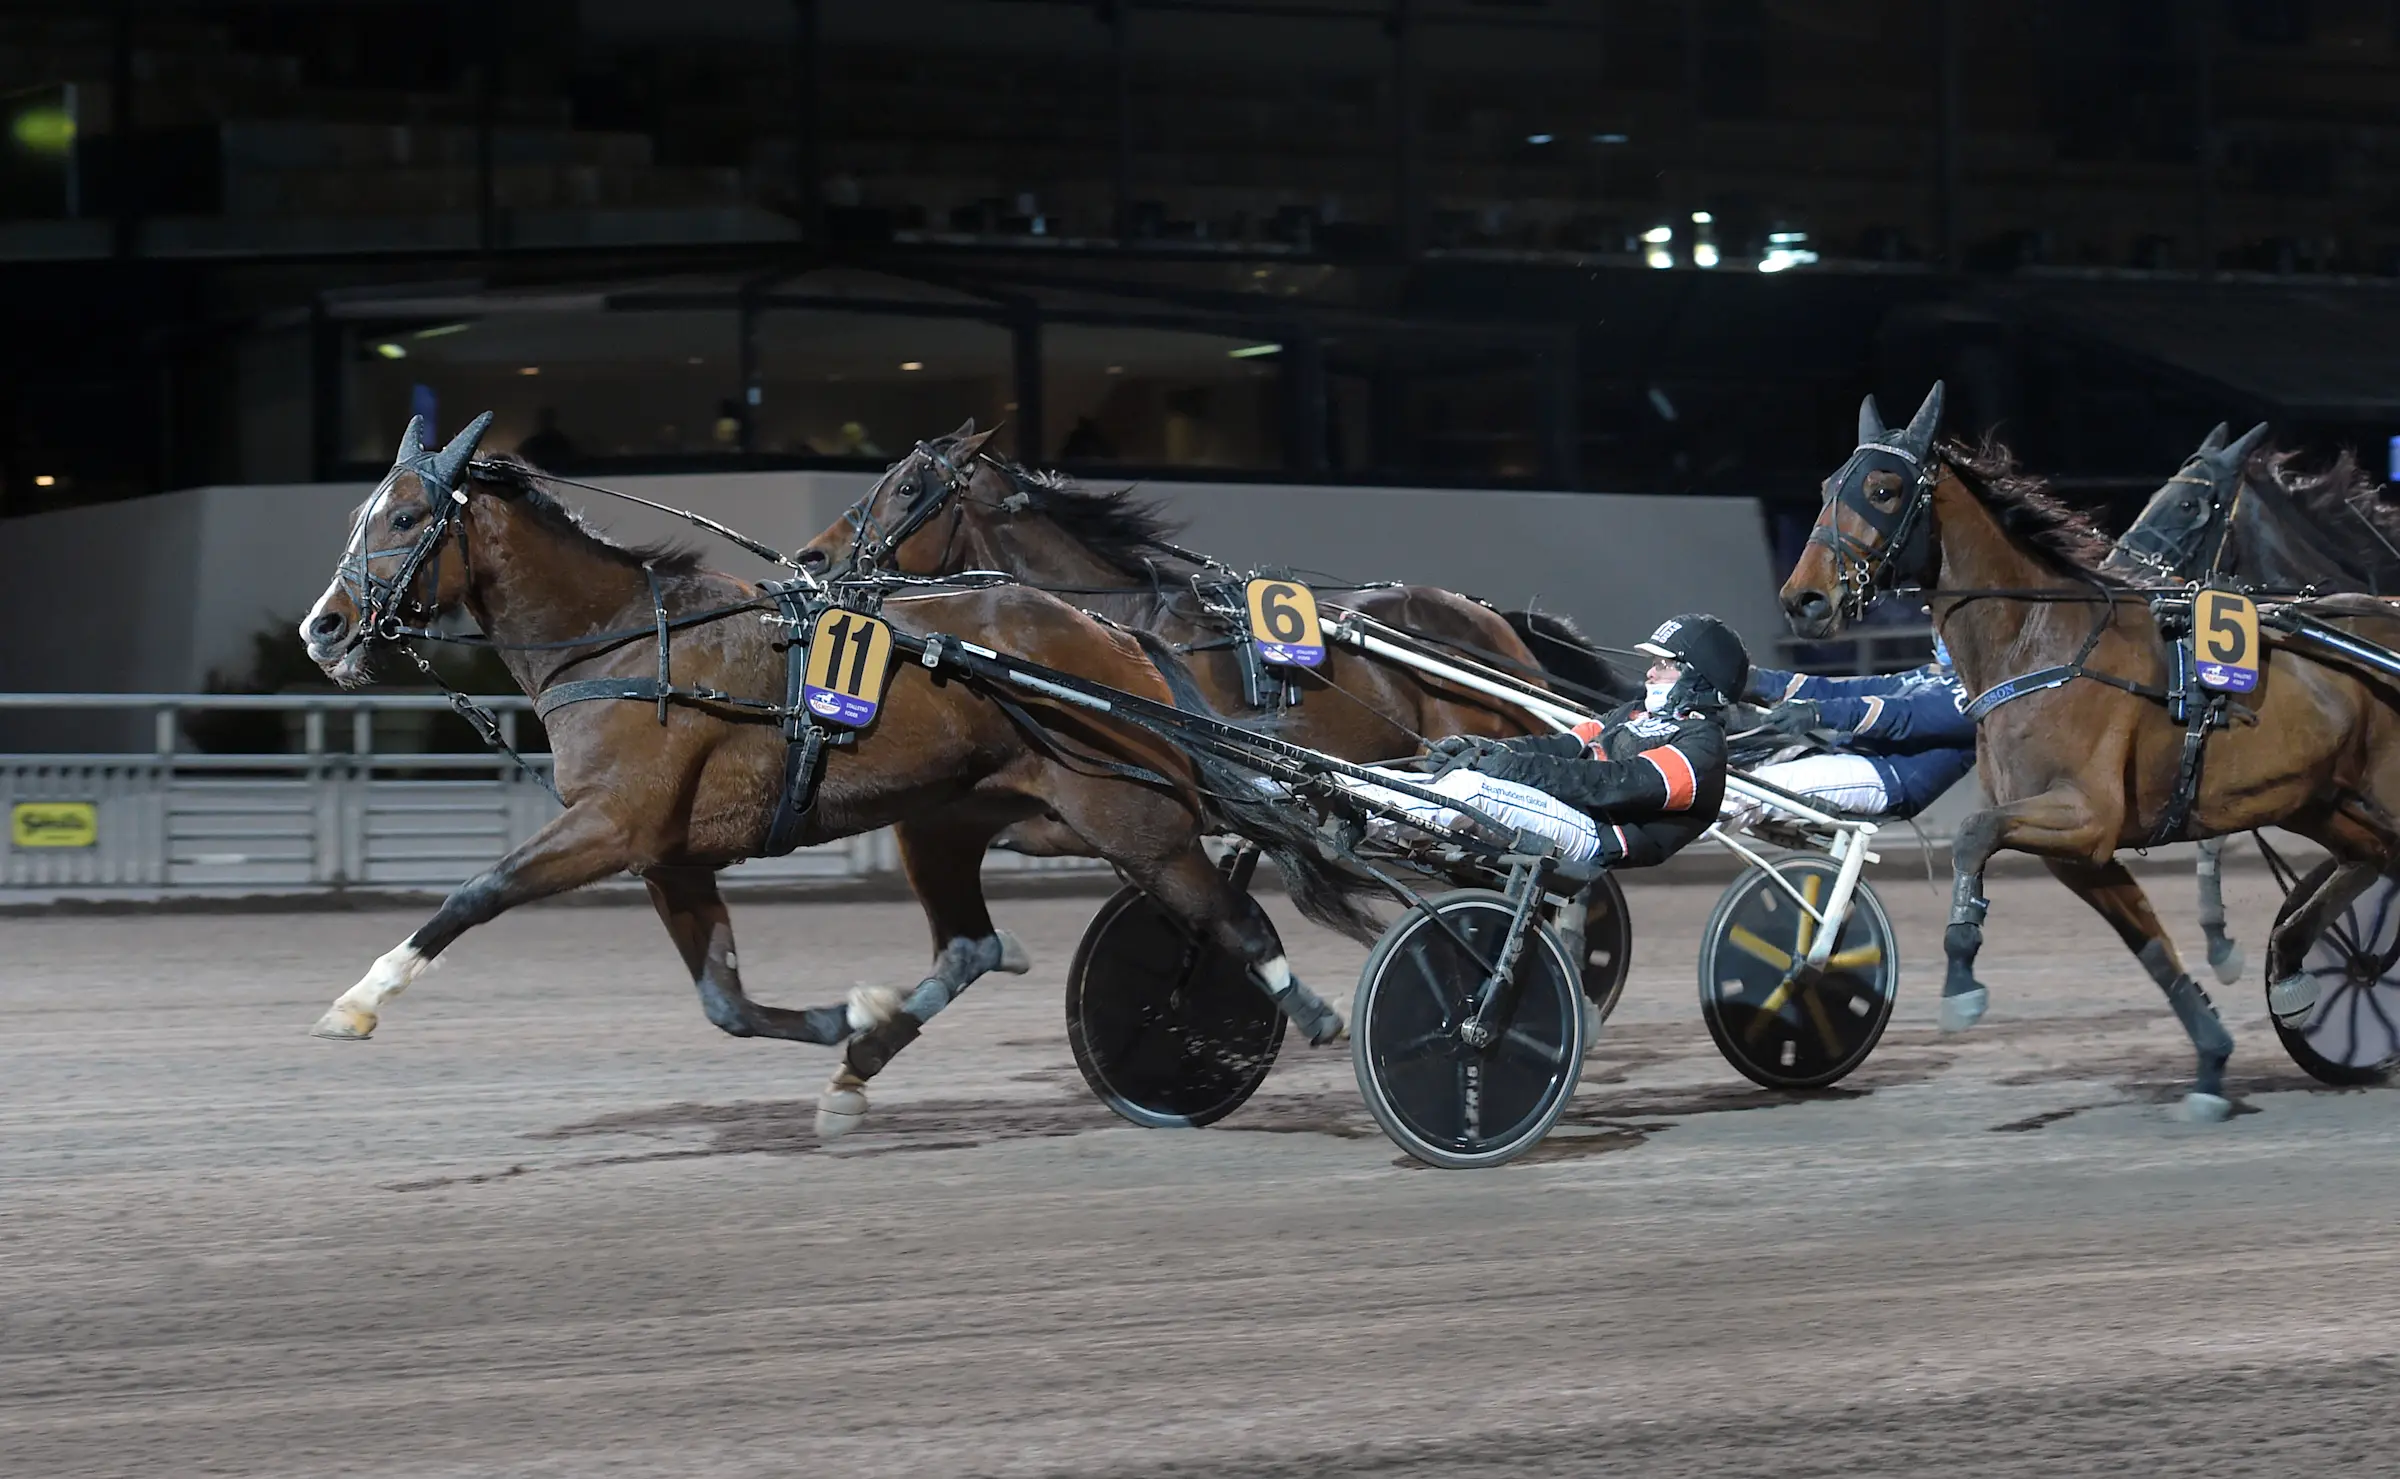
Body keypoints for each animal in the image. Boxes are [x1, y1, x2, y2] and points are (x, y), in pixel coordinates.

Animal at [295, 412, 1372, 1133]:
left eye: (404, 519)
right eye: (362, 514)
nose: (324, 627)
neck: (626, 642)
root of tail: (1109, 634)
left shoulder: (611, 826)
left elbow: (476, 892)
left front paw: (360, 998)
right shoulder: (668, 856)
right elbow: (726, 1005)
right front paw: (853, 1015)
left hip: (1129, 817)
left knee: (1235, 918)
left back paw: (1324, 1016)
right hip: (961, 819)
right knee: (977, 944)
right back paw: (867, 1056)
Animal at [1776, 381, 2400, 1118]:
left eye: (1883, 487)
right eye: (1826, 485)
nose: (1805, 600)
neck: (2042, 645)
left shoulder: (2086, 813)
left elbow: (1972, 833)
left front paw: (1961, 978)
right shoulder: (2080, 850)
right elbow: (2152, 949)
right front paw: (2211, 1065)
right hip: (2323, 801)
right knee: (2370, 858)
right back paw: (2300, 966)